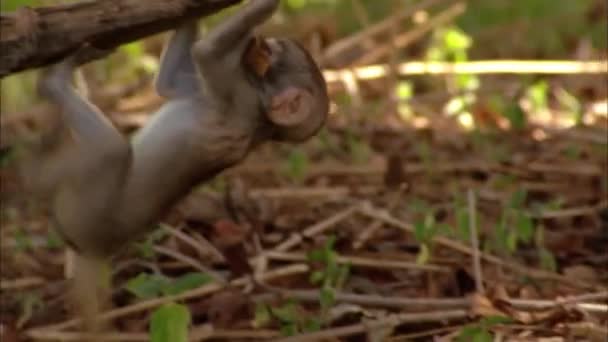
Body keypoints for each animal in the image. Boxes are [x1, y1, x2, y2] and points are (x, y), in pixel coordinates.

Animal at [21, 0, 330, 332]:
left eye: (276, 50)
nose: (263, 41)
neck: (264, 120)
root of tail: (95, 250)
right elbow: (168, 84)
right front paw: (192, 11)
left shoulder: (240, 94)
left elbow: (203, 53)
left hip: (87, 214)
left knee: (113, 152)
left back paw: (44, 119)